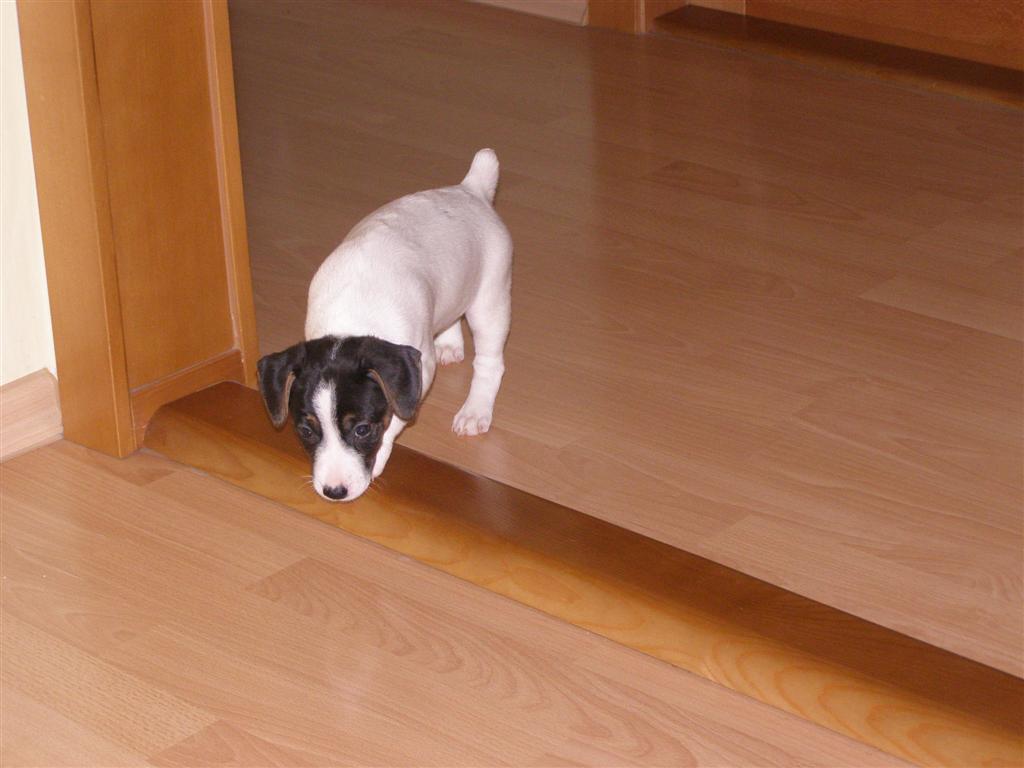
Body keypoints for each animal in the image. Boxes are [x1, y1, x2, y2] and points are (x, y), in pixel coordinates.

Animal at [257, 149, 512, 502]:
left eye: (363, 429)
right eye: (306, 430)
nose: (334, 492)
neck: (350, 318)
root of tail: (470, 189)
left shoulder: (419, 372)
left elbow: (395, 420)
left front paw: (378, 459)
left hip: (490, 301)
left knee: (490, 362)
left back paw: (475, 411)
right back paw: (449, 344)